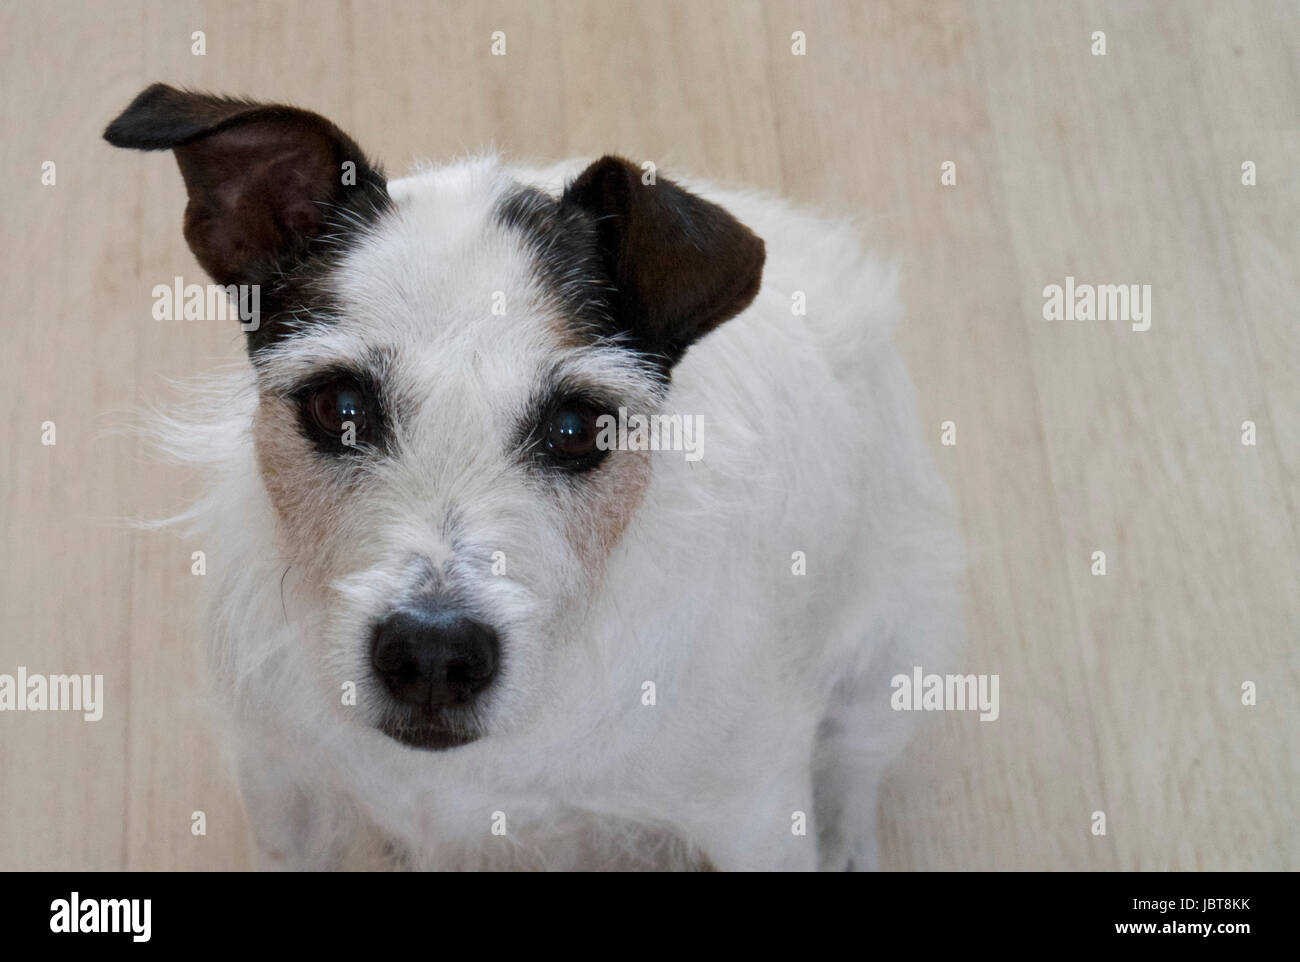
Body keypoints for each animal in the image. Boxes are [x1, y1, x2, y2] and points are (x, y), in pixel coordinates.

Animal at [106, 84, 961, 873]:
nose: (434, 657)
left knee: (854, 767)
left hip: (884, 664)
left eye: (579, 428)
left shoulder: (753, 815)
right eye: (339, 406)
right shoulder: (284, 786)